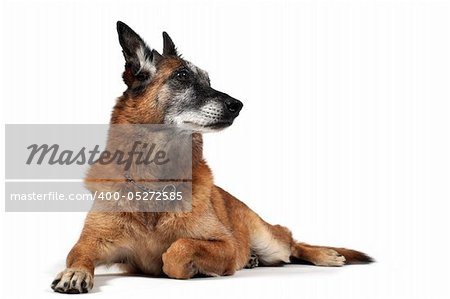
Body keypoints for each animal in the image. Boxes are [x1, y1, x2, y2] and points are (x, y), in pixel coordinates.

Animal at [51, 21, 370, 296]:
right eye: (182, 76)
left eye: (208, 80)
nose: (238, 105)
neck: (154, 183)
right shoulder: (91, 241)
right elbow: (77, 254)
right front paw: (75, 273)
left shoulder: (225, 245)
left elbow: (177, 250)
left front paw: (196, 269)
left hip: (269, 240)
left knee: (291, 242)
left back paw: (323, 254)